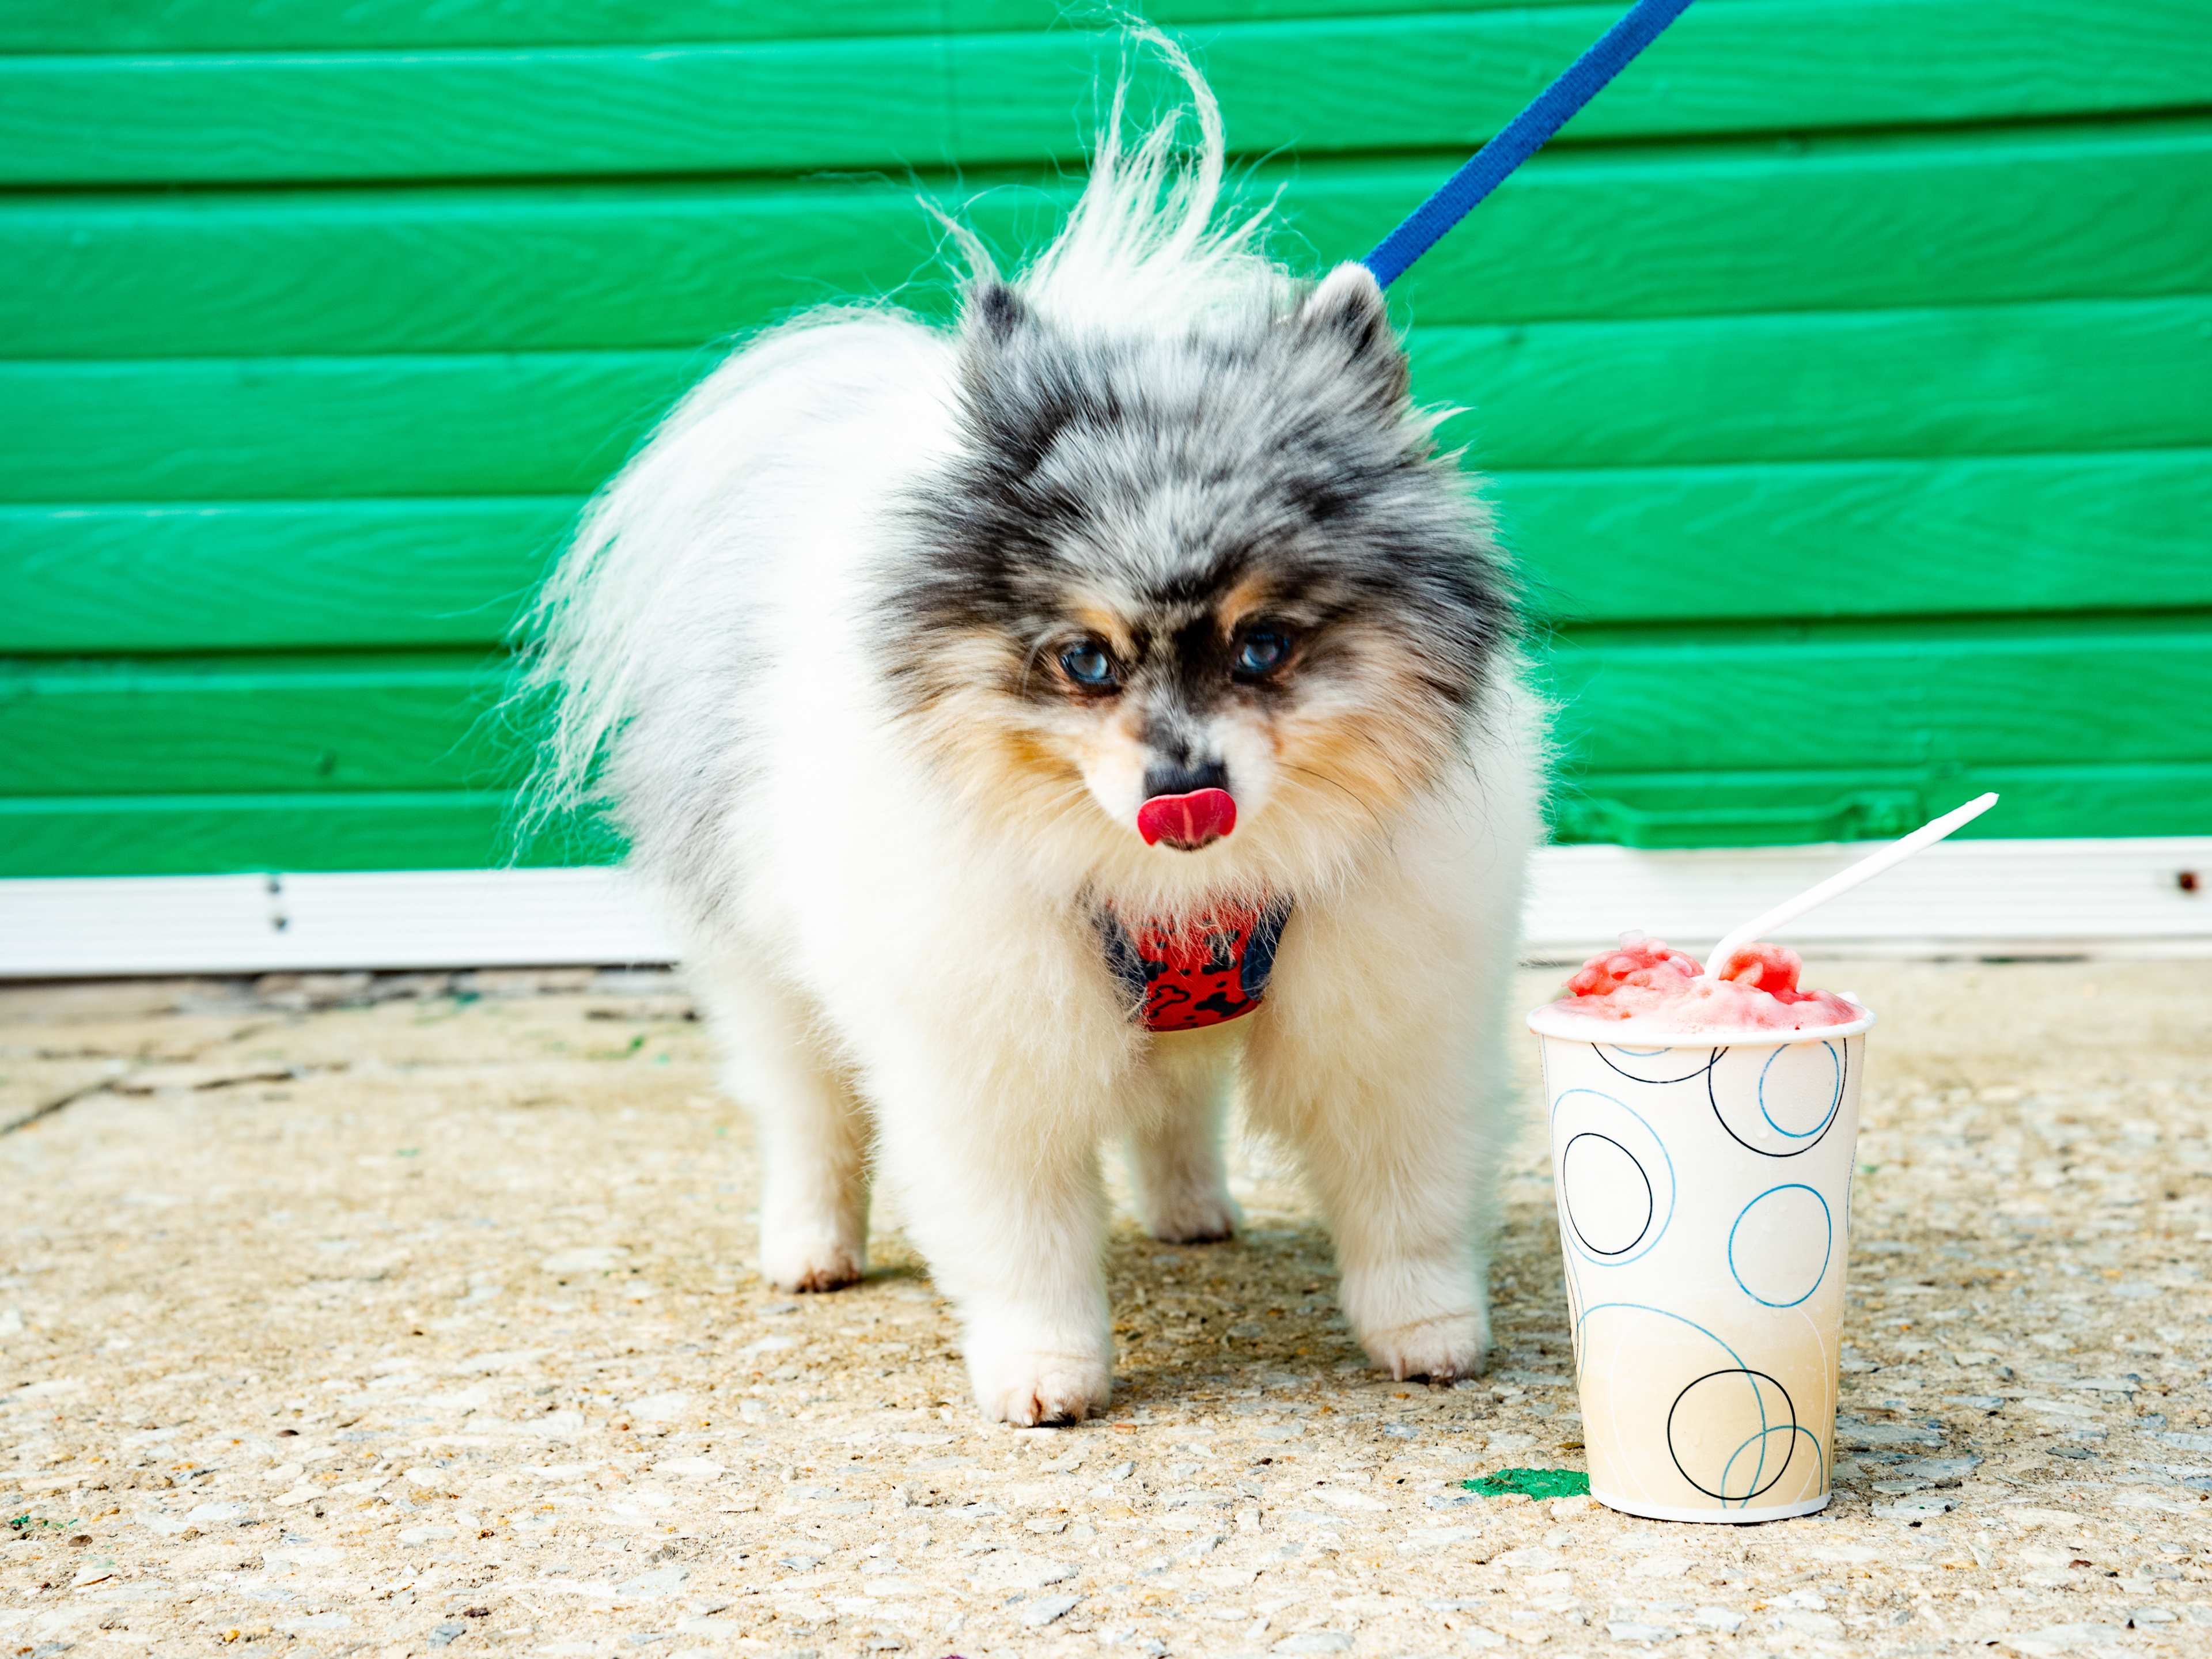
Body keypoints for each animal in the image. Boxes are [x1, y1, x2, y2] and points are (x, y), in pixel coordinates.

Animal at [526, 39, 1548, 1424]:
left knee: (1173, 1101)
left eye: (1262, 647)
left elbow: (1406, 1197)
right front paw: (1044, 1372)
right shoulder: (986, 1038)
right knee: (808, 1110)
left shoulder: (1390, 1013)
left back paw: (1190, 1208)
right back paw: (811, 1246)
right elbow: (1021, 1233)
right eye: (1085, 660)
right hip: (764, 957)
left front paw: (1430, 1334)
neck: (1184, 898)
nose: (1185, 786)